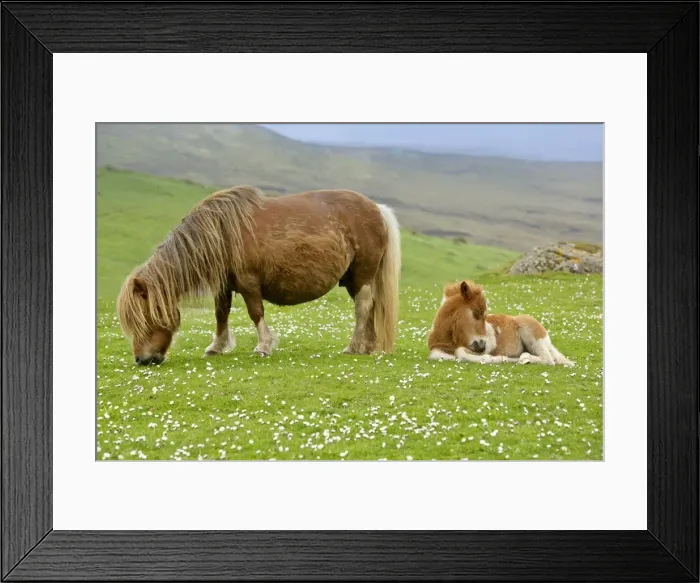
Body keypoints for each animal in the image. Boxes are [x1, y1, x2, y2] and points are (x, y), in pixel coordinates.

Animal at [117, 185, 402, 365]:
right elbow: (221, 314)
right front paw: (216, 347)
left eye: (145, 318)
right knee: (370, 308)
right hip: (355, 279)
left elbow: (255, 312)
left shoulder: (248, 282)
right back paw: (367, 347)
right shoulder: (224, 285)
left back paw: (353, 347)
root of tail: (376, 208)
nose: (142, 360)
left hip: (362, 276)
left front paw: (264, 346)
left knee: (362, 308)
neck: (222, 233)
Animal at [427, 280, 573, 366]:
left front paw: (493, 359)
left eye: (483, 314)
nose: (482, 345)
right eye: (477, 312)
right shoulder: (437, 352)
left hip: (533, 336)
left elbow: (462, 353)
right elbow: (441, 355)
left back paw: (525, 359)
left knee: (549, 359)